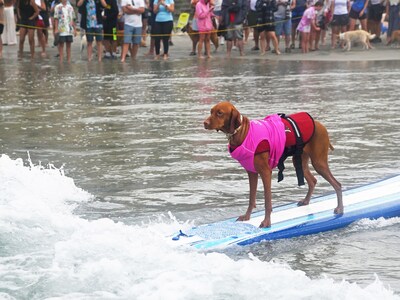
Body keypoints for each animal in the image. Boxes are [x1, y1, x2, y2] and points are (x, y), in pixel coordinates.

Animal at [205, 101, 342, 227]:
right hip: (300, 161)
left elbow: (267, 201)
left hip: (318, 162)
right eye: (211, 111)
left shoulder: (265, 172)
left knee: (337, 184)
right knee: (313, 180)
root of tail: (320, 125)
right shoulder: (252, 173)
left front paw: (266, 222)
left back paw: (340, 209)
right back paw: (306, 201)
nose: (204, 123)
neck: (244, 132)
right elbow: (251, 198)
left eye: (220, 113)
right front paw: (247, 217)